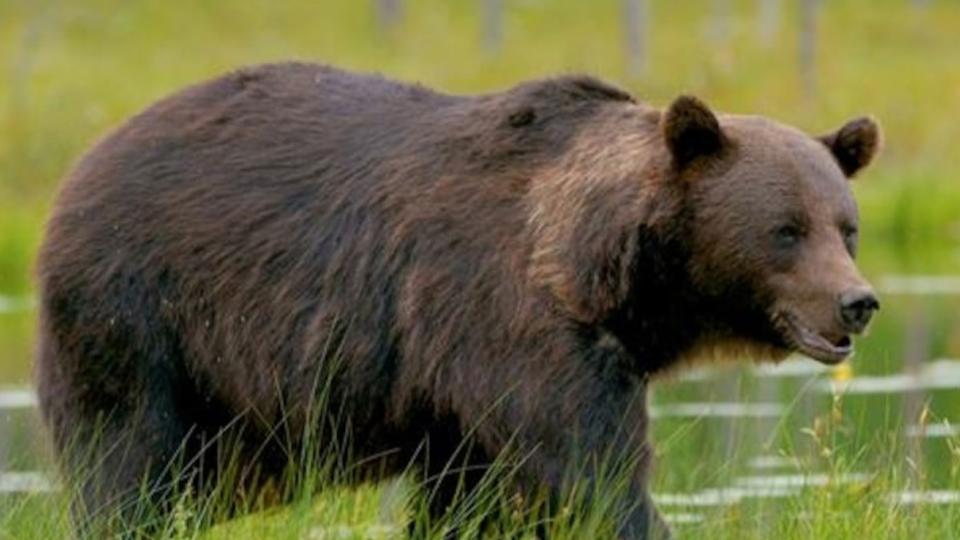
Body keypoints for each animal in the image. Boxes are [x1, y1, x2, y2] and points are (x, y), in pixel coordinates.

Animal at [35, 62, 880, 538]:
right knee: (127, 462)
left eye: (847, 227)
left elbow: (473, 500)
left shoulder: (458, 394)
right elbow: (588, 475)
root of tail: (82, 166)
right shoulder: (511, 325)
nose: (857, 302)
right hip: (143, 314)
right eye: (785, 229)